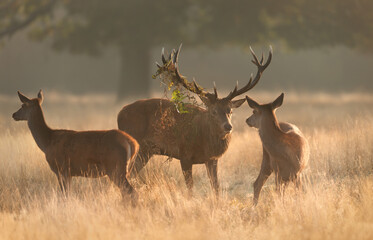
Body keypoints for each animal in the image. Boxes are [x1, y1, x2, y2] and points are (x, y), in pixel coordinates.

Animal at [12, 90, 140, 199]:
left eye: (23, 105)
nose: (13, 114)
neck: (47, 142)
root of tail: (133, 143)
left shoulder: (61, 169)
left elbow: (65, 195)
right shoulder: (69, 173)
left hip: (115, 167)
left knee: (131, 192)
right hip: (127, 167)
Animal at [117, 44, 272, 195]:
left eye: (231, 110)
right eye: (213, 111)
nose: (228, 126)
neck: (204, 142)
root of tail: (119, 114)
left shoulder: (212, 159)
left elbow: (216, 187)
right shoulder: (184, 155)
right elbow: (190, 189)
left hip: (146, 152)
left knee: (130, 175)